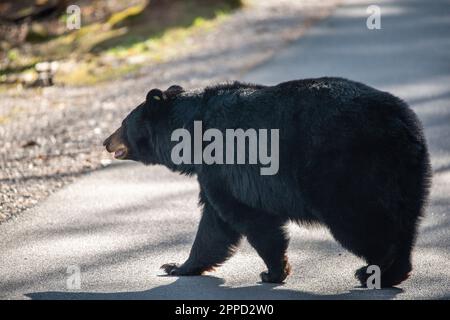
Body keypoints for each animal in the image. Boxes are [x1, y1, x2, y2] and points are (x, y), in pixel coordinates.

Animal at [103, 78, 430, 288]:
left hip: (343, 172)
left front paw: (273, 272)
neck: (191, 134)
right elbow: (215, 224)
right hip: (406, 175)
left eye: (122, 123)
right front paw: (177, 266)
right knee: (404, 222)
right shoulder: (213, 174)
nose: (105, 141)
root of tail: (401, 122)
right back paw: (393, 270)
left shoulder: (221, 168)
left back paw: (374, 271)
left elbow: (243, 219)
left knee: (360, 223)